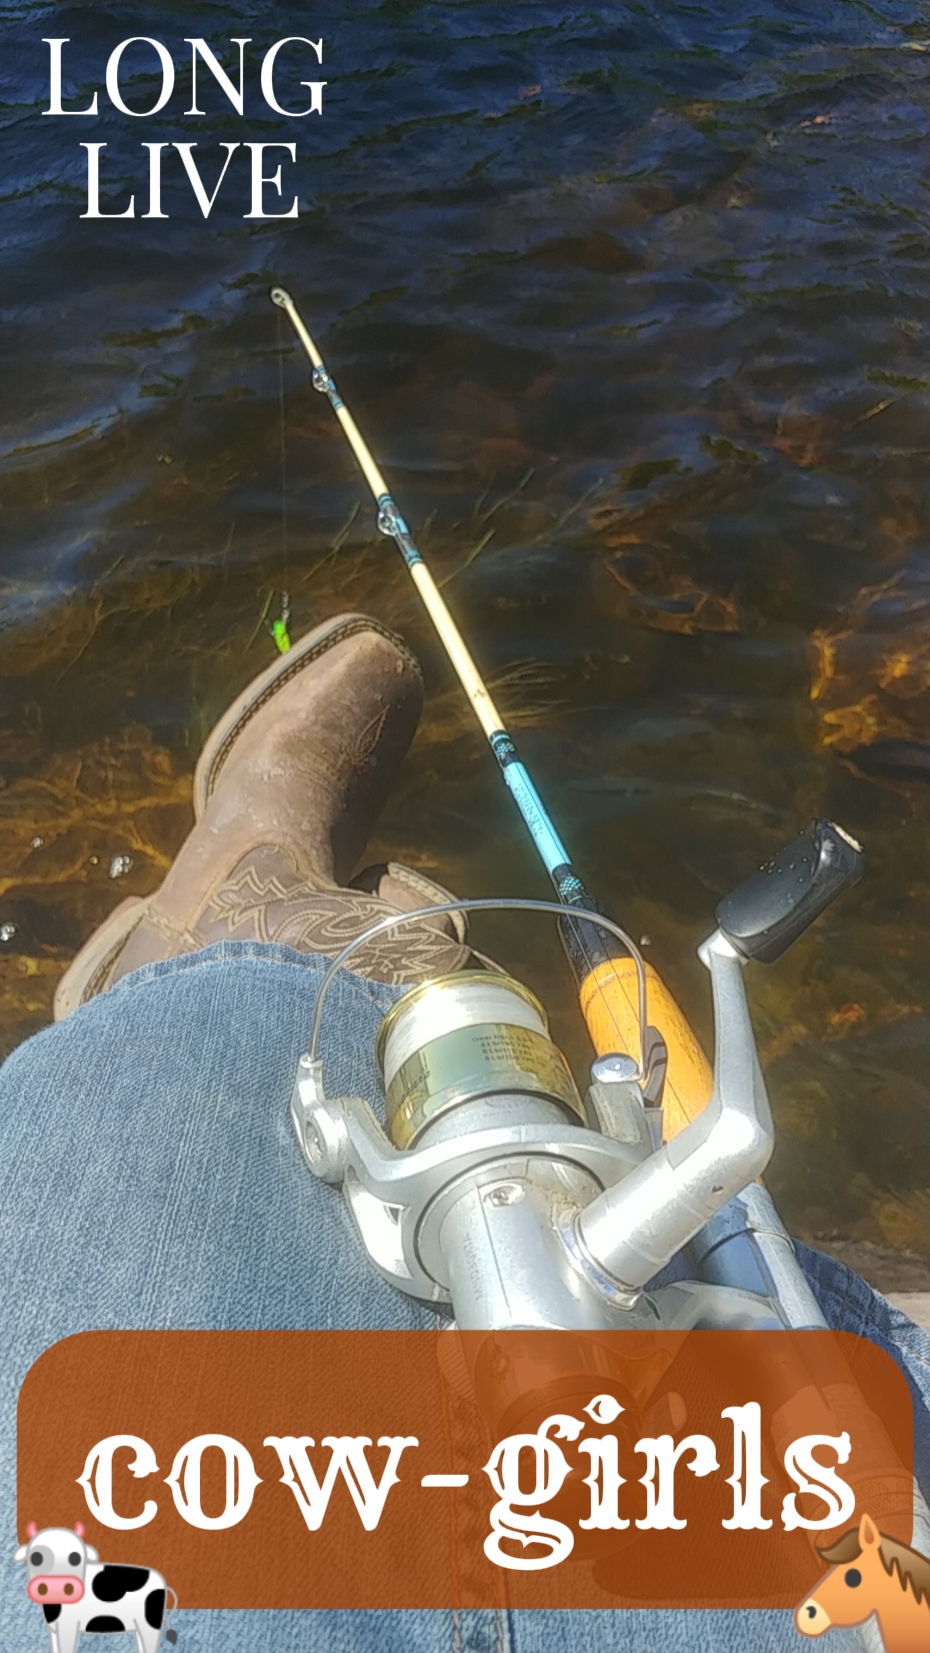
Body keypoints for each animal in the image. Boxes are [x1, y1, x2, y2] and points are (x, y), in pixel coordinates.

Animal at [13, 1522, 177, 1653]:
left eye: (76, 1558)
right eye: (36, 1558)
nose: (56, 1586)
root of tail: (163, 1584)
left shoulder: (69, 1626)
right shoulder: (53, 1628)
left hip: (150, 1624)